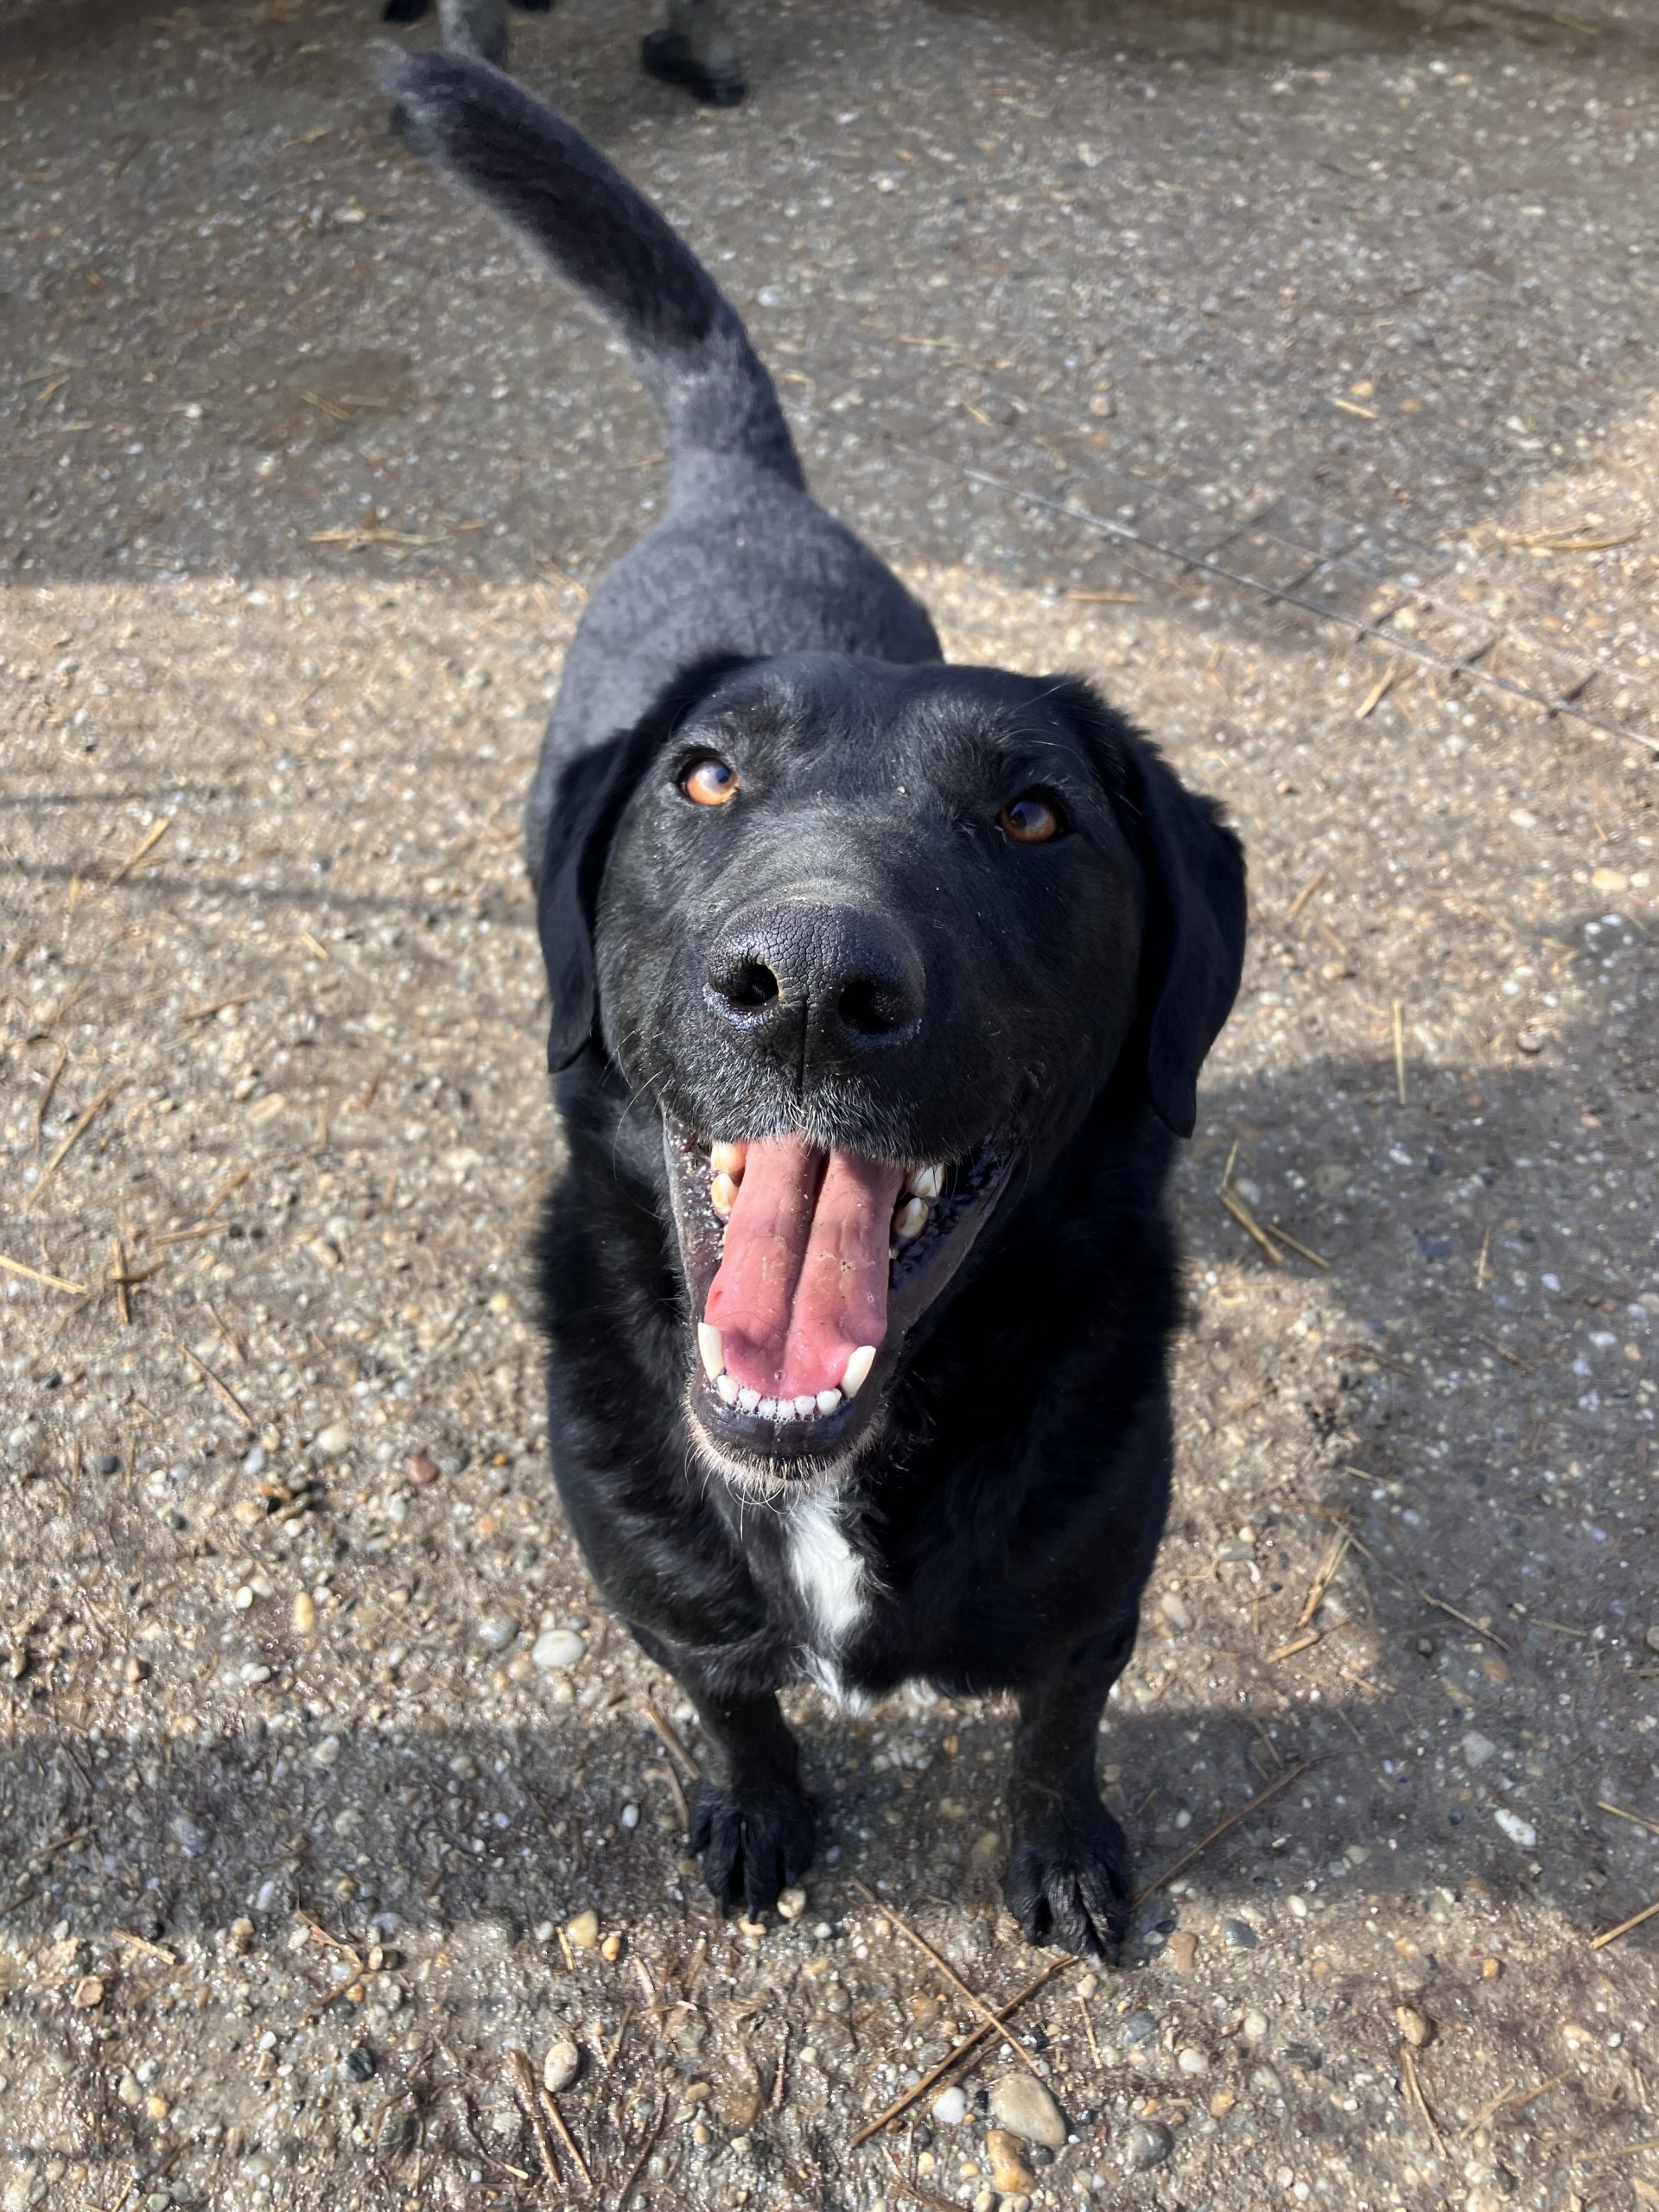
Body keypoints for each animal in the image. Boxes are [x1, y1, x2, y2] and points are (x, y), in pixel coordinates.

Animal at [389, 51, 1247, 1959]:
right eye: (705, 779)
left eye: (1035, 815)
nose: (808, 986)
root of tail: (737, 486)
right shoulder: (669, 1600)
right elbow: (734, 1697)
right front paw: (760, 1808)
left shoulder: (1096, 1603)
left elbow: (1057, 1734)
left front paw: (1060, 1849)